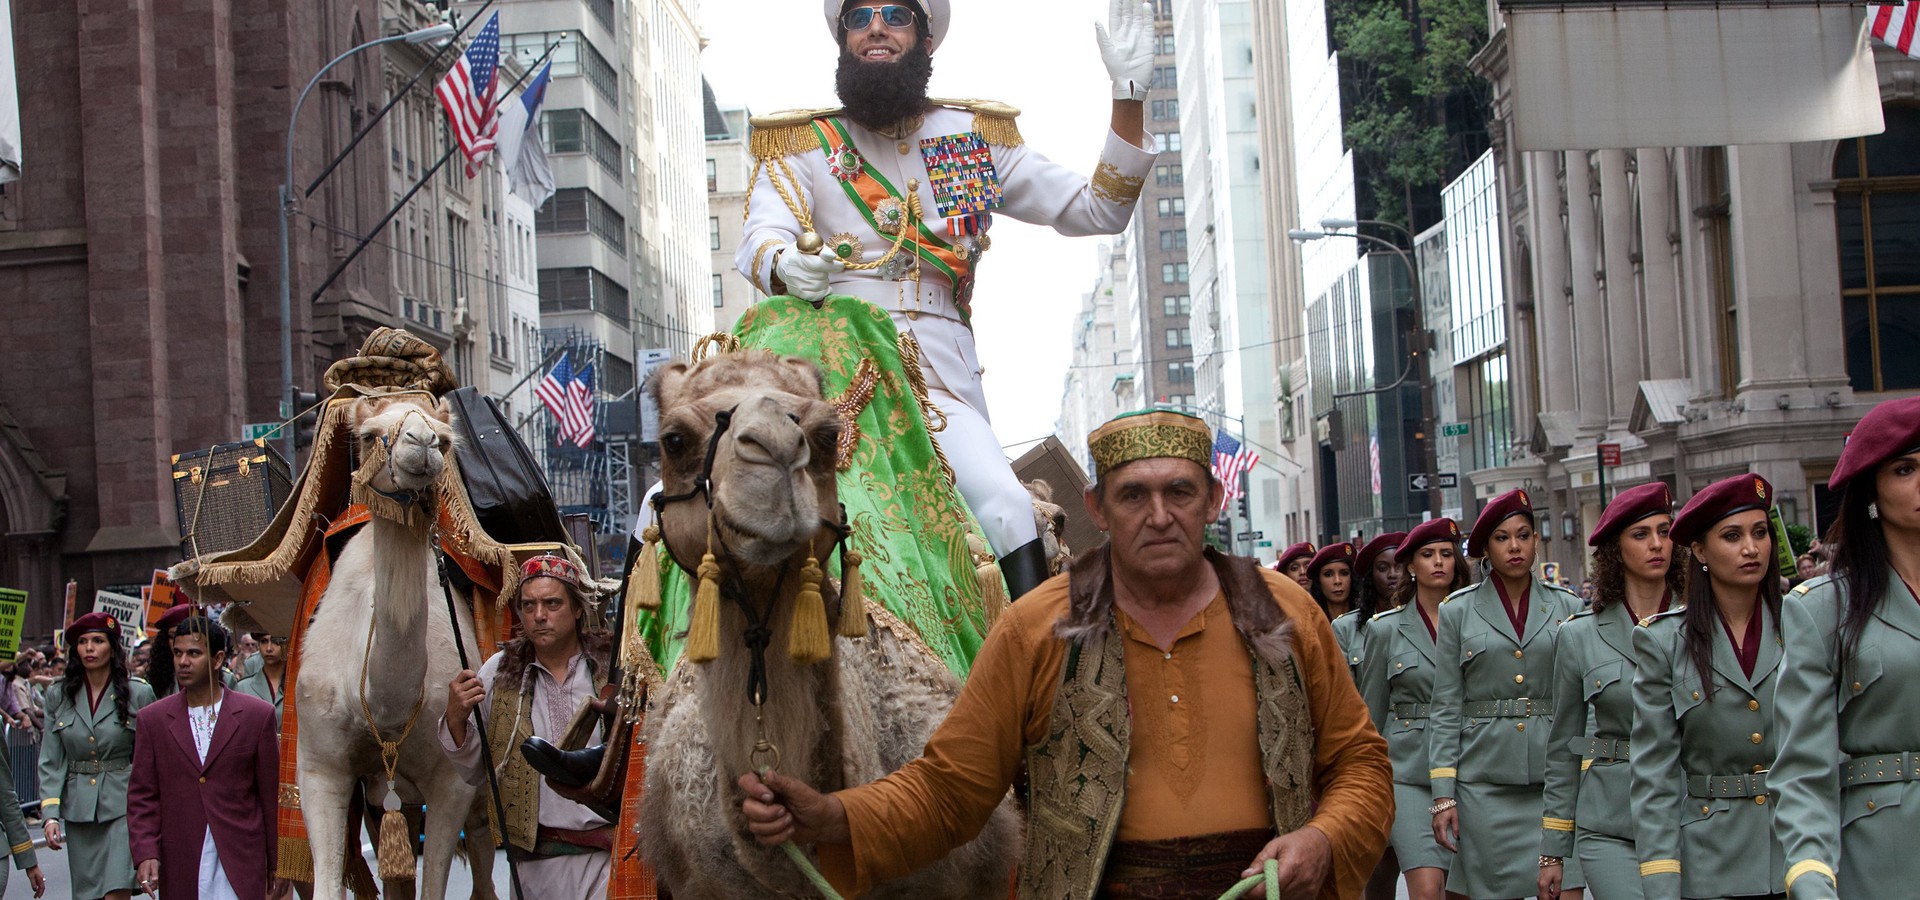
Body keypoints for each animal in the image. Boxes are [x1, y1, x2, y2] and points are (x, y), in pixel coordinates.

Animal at [294, 394, 494, 899]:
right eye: (368, 436)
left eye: (444, 440)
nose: (420, 444)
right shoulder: (321, 768)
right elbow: (328, 883)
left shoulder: (452, 782)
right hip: (386, 800)